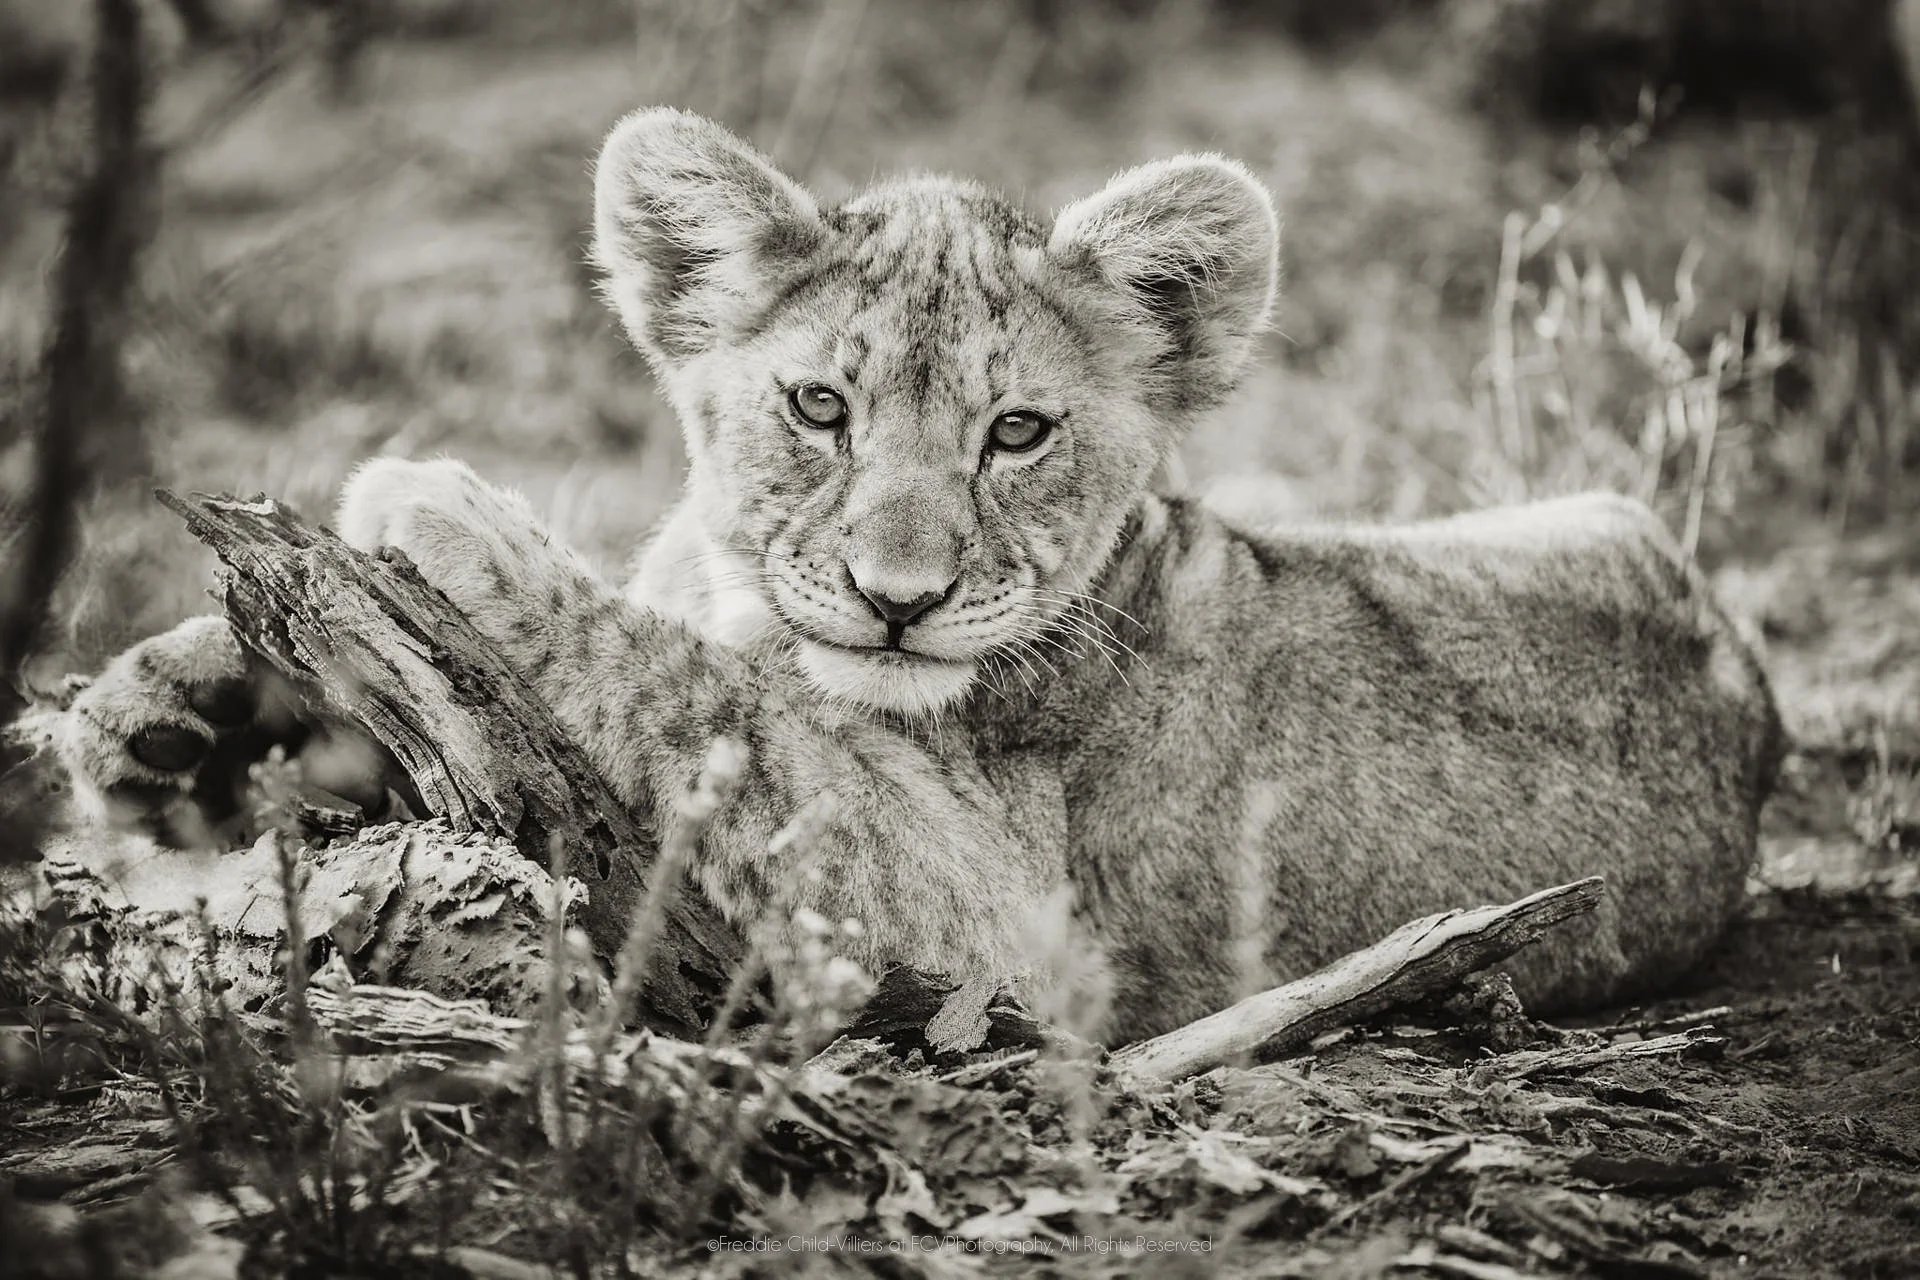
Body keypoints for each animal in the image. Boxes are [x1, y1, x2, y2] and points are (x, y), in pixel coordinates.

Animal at [41, 109, 1782, 1040]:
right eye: (821, 408)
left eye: (1017, 433)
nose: (901, 598)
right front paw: (155, 714)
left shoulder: (997, 930)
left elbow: (713, 694)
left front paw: (446, 510)